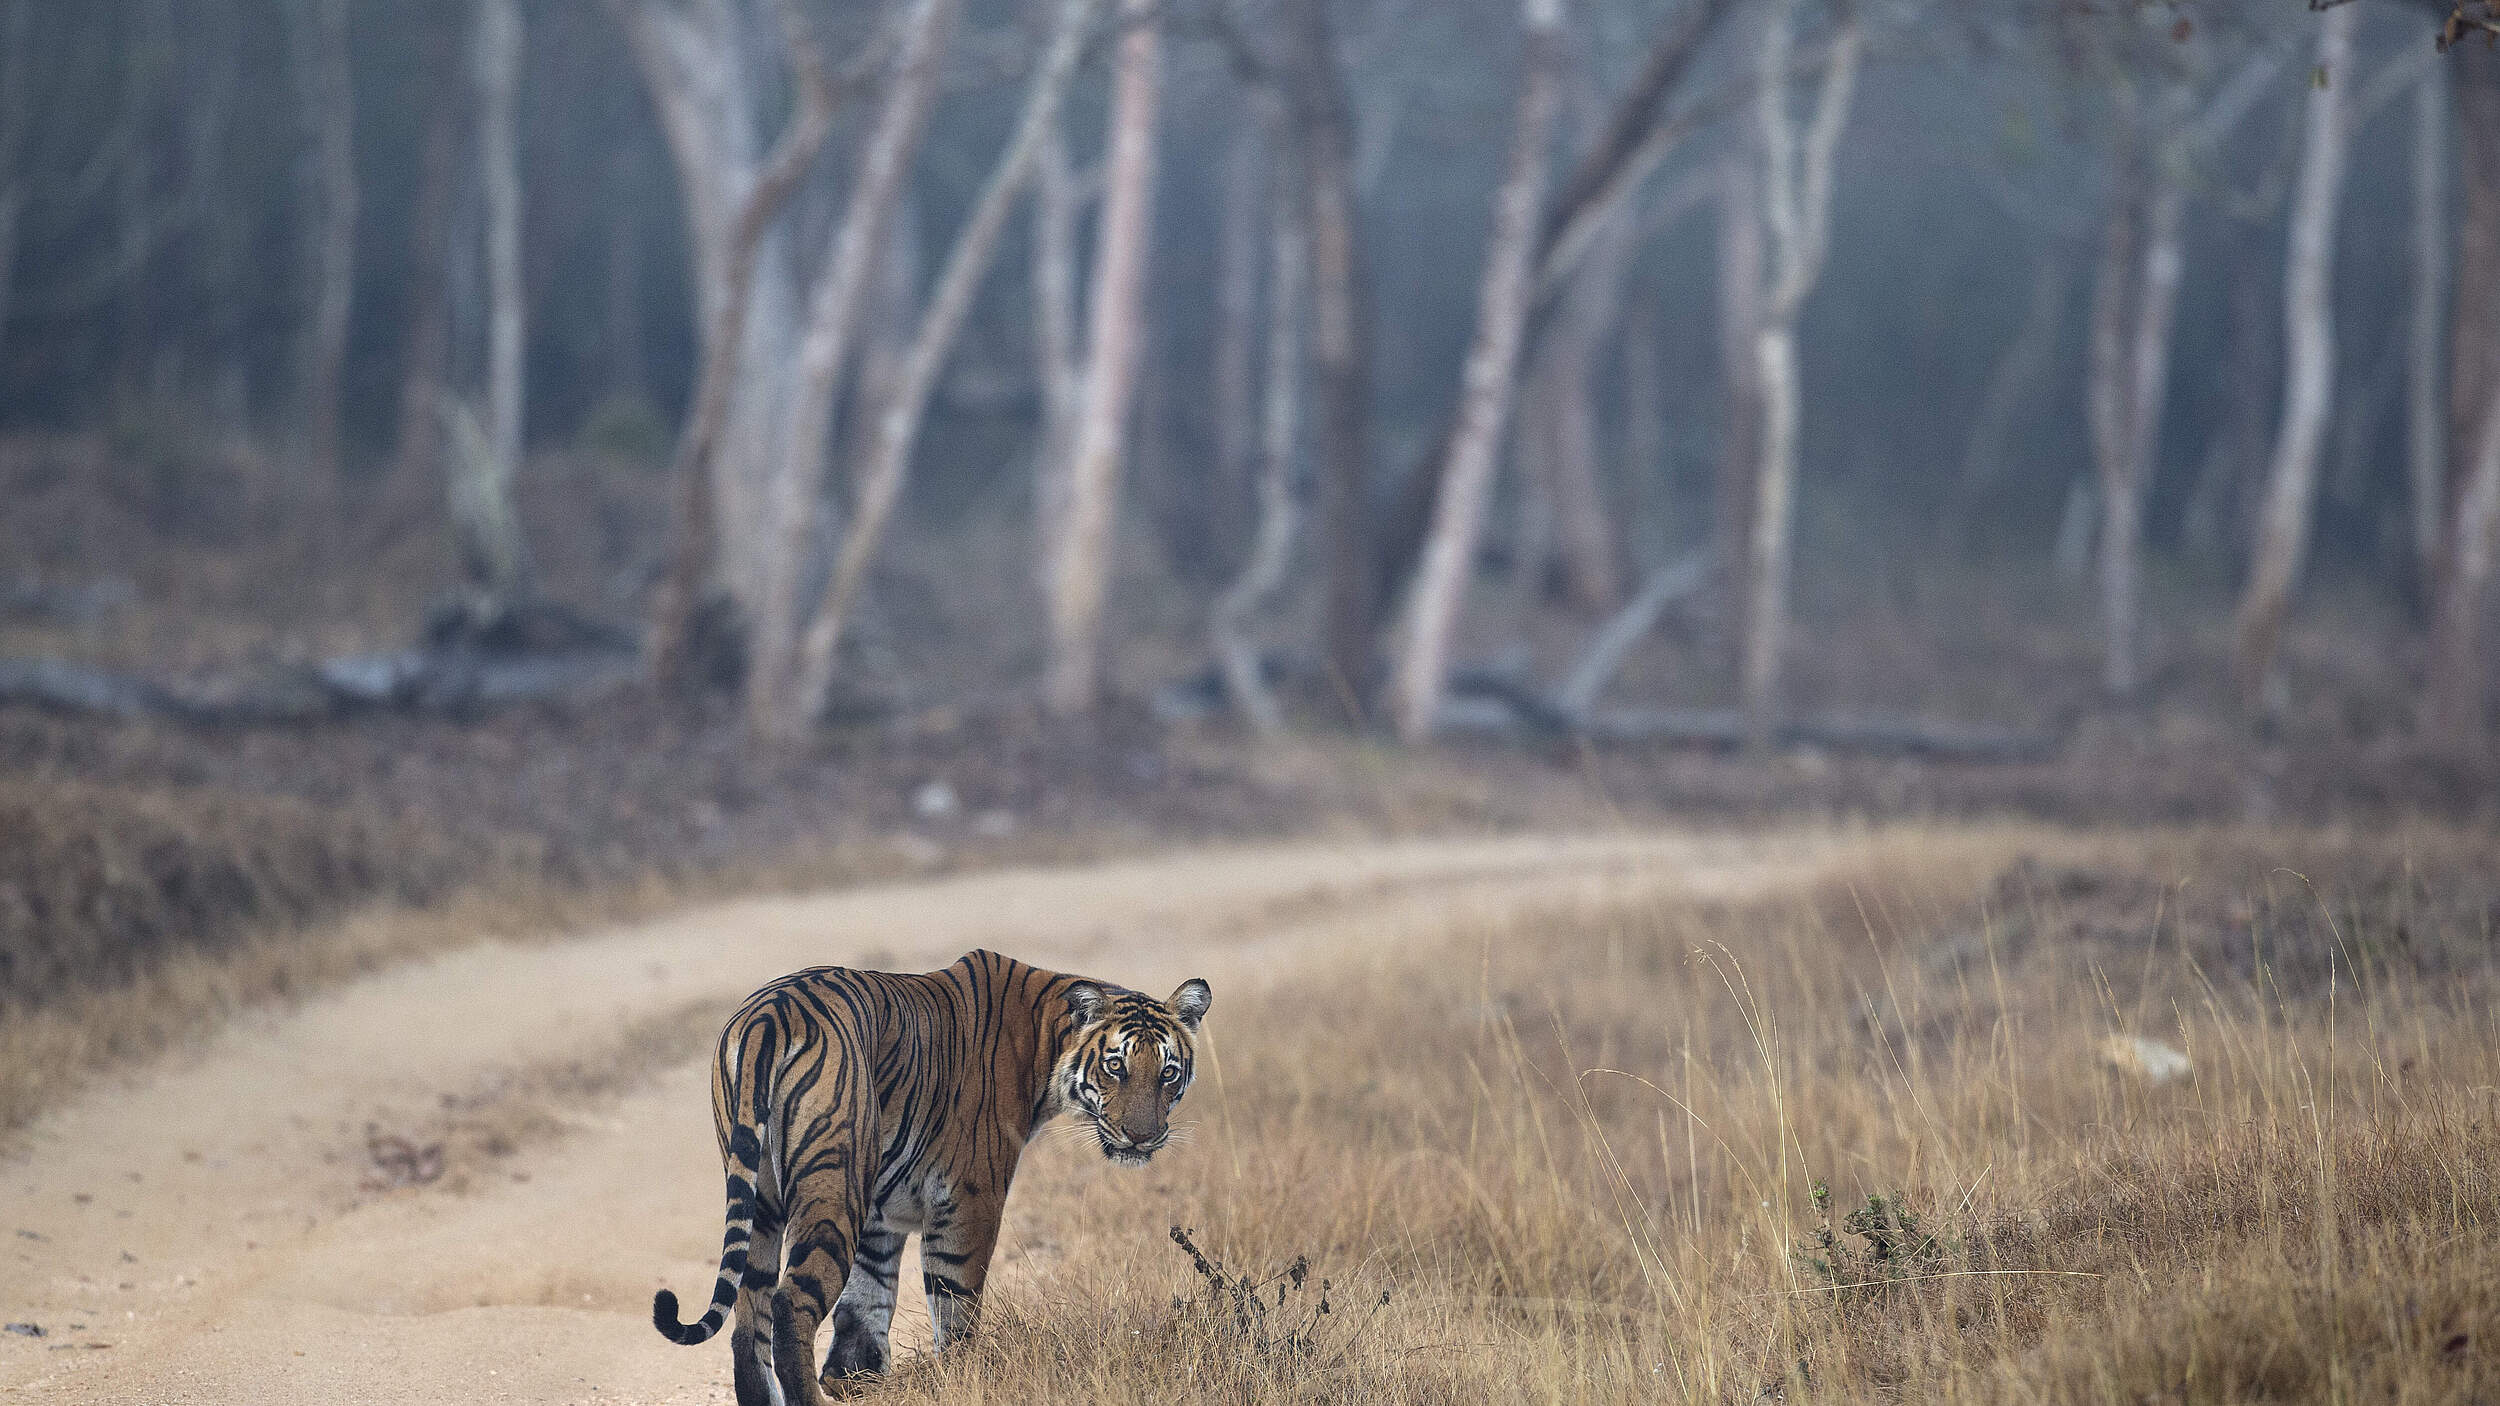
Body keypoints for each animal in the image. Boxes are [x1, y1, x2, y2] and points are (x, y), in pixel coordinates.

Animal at [651, 947, 1212, 1406]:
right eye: (1116, 1066)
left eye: (1168, 1072)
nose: (1142, 1137)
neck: (1045, 1043)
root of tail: (769, 1015)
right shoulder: (969, 1199)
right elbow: (955, 1304)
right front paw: (962, 1378)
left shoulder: (882, 1216)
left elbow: (868, 1299)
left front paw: (856, 1378)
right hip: (834, 1186)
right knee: (791, 1304)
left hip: (762, 1198)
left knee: (749, 1324)